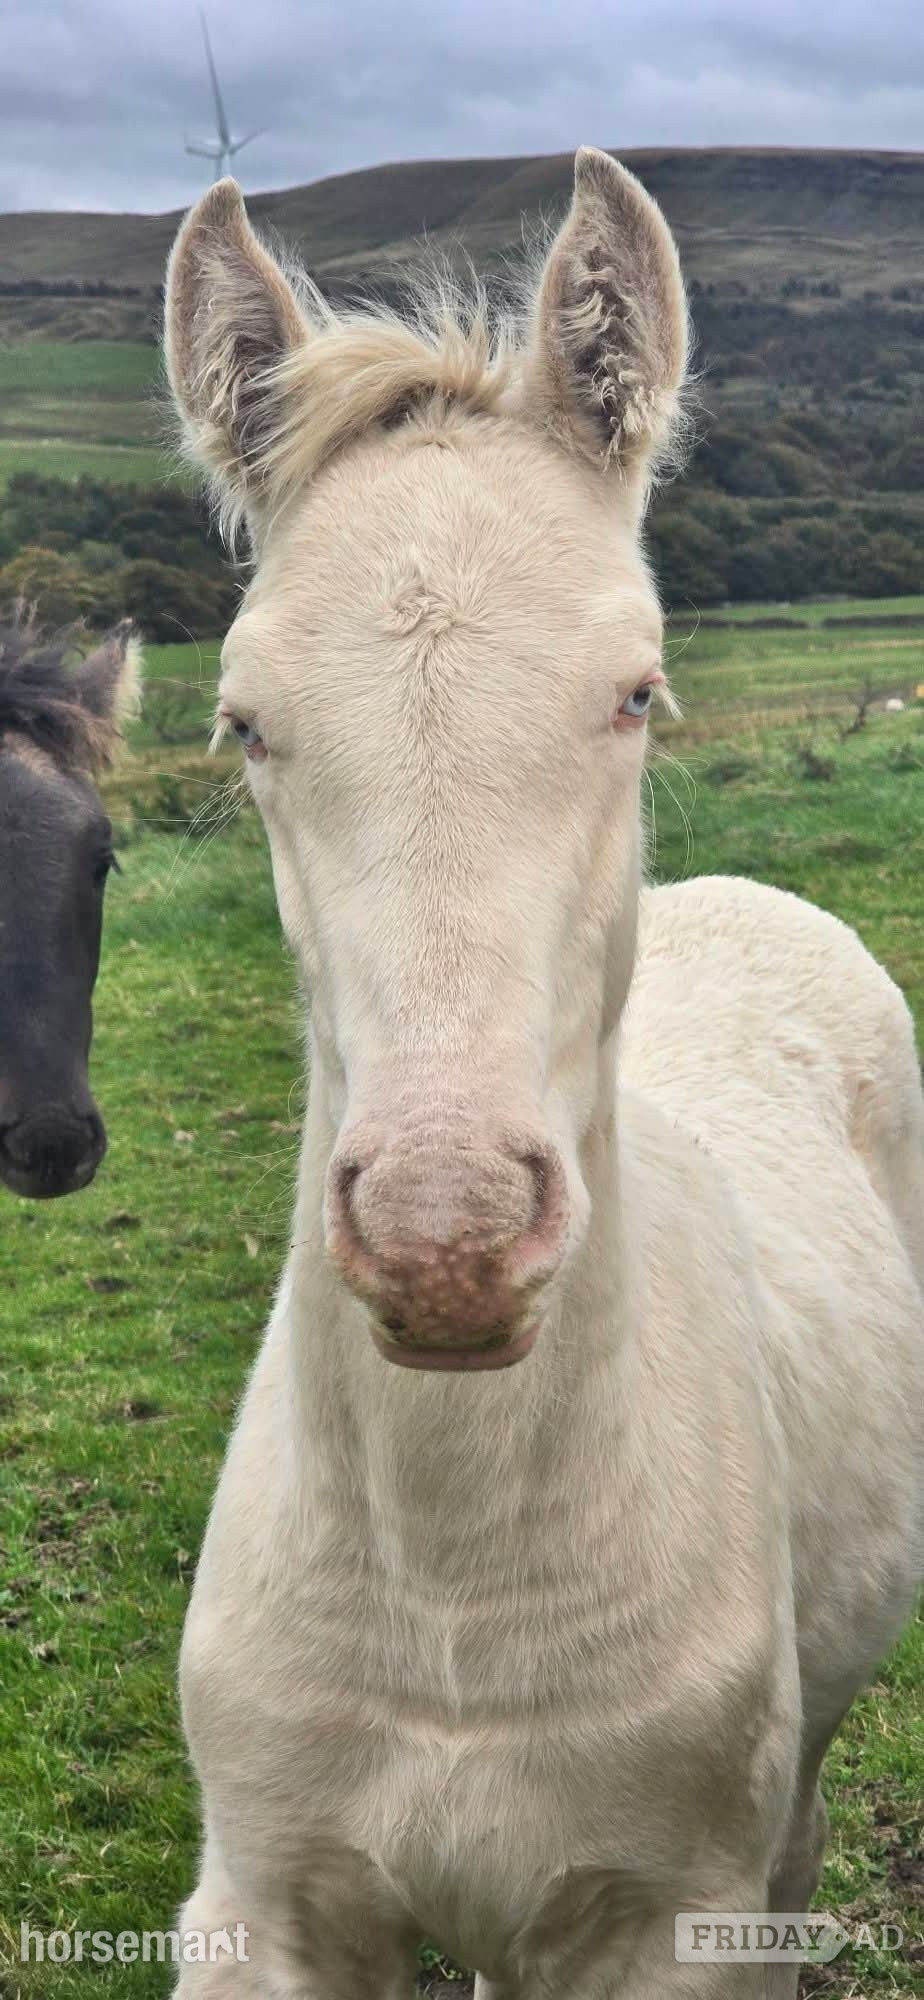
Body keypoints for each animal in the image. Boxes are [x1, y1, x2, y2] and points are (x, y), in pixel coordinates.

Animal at [164, 149, 924, 1997]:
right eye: (242, 722)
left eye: (635, 691)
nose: (443, 1242)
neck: (455, 1597)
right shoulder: (261, 1907)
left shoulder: (670, 1921)